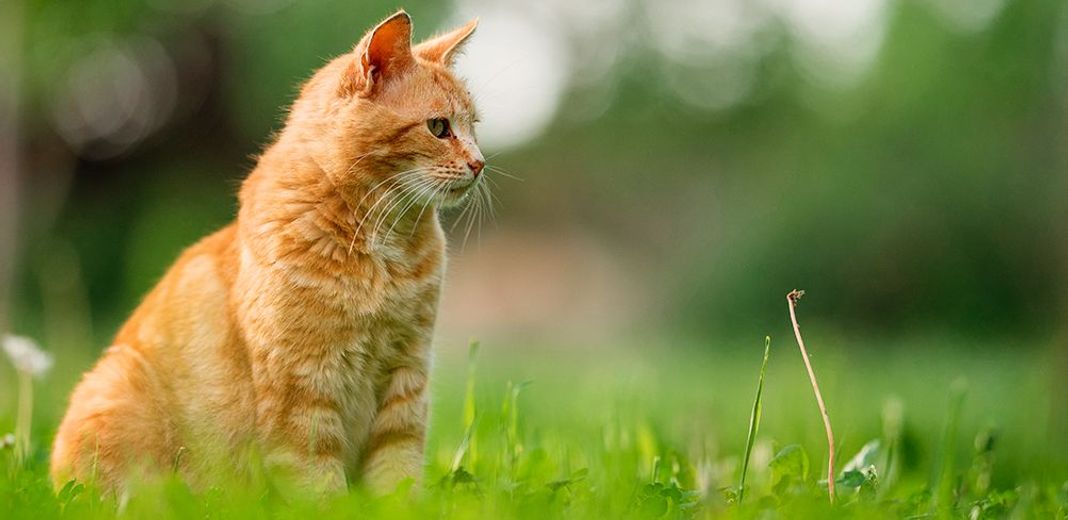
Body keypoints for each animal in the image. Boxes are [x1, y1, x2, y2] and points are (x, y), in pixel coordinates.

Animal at [49, 11, 484, 497]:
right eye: (439, 127)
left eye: (474, 127)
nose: (480, 163)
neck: (381, 246)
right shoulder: (303, 383)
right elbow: (318, 480)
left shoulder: (405, 378)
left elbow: (397, 472)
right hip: (114, 396)